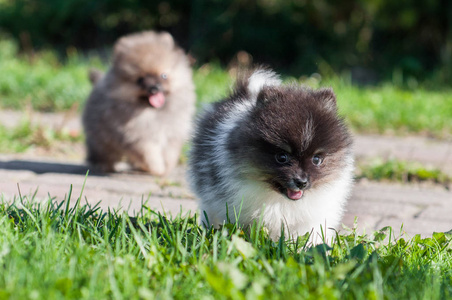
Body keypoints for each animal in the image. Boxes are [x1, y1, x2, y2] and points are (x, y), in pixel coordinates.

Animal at [82, 29, 195, 176]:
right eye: (140, 80)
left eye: (164, 75)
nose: (154, 88)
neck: (154, 112)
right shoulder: (136, 136)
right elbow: (149, 154)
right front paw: (157, 168)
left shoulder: (172, 133)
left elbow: (169, 154)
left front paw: (166, 167)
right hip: (101, 138)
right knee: (103, 152)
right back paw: (104, 166)